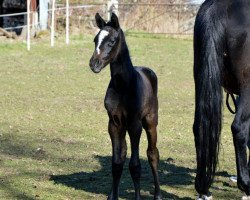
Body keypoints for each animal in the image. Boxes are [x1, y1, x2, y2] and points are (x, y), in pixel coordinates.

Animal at [89, 13, 161, 199]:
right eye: (95, 40)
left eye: (112, 40)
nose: (94, 64)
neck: (123, 86)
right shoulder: (114, 123)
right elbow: (116, 163)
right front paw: (112, 196)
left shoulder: (135, 125)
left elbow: (135, 166)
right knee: (123, 153)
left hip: (150, 121)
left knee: (153, 153)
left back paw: (158, 194)